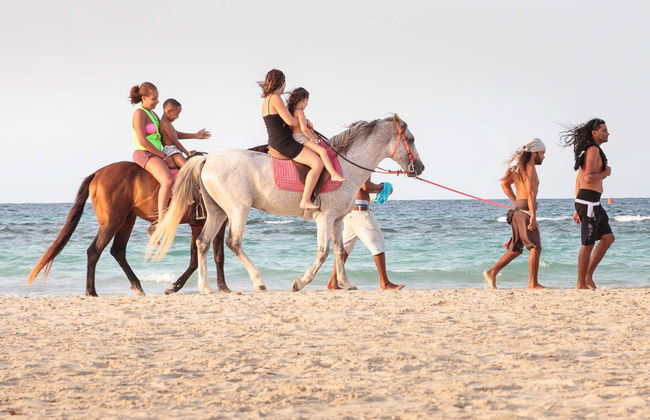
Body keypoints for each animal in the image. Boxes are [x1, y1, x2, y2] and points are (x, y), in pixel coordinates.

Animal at [26, 161, 228, 296]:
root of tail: (97, 173)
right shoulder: (217, 222)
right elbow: (218, 256)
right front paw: (223, 287)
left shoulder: (198, 224)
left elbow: (196, 258)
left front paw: (175, 287)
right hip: (112, 222)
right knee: (94, 251)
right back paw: (91, 291)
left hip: (127, 221)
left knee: (117, 251)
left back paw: (137, 286)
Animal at [148, 115, 424, 293]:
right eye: (410, 139)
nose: (420, 168)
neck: (344, 167)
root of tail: (207, 160)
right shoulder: (324, 218)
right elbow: (323, 252)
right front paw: (300, 282)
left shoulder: (337, 220)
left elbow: (339, 251)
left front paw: (345, 283)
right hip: (238, 209)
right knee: (233, 243)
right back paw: (258, 281)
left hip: (217, 211)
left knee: (203, 243)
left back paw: (205, 288)